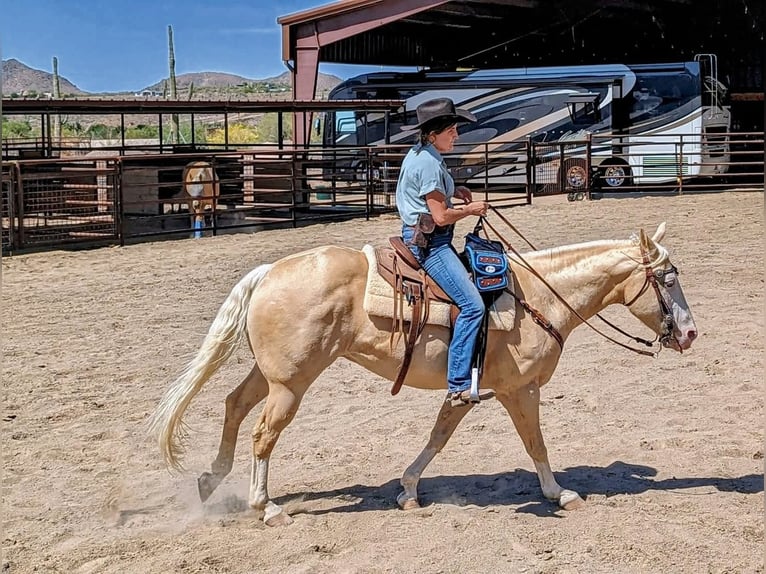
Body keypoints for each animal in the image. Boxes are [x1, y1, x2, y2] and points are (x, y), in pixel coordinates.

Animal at [149, 222, 697, 526]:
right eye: (668, 278)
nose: (690, 333)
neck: (540, 297)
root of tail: (268, 272)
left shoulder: (468, 391)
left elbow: (438, 436)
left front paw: (408, 490)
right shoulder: (520, 390)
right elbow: (536, 444)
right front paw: (559, 493)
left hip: (273, 374)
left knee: (234, 406)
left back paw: (210, 482)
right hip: (291, 384)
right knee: (263, 434)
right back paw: (267, 508)